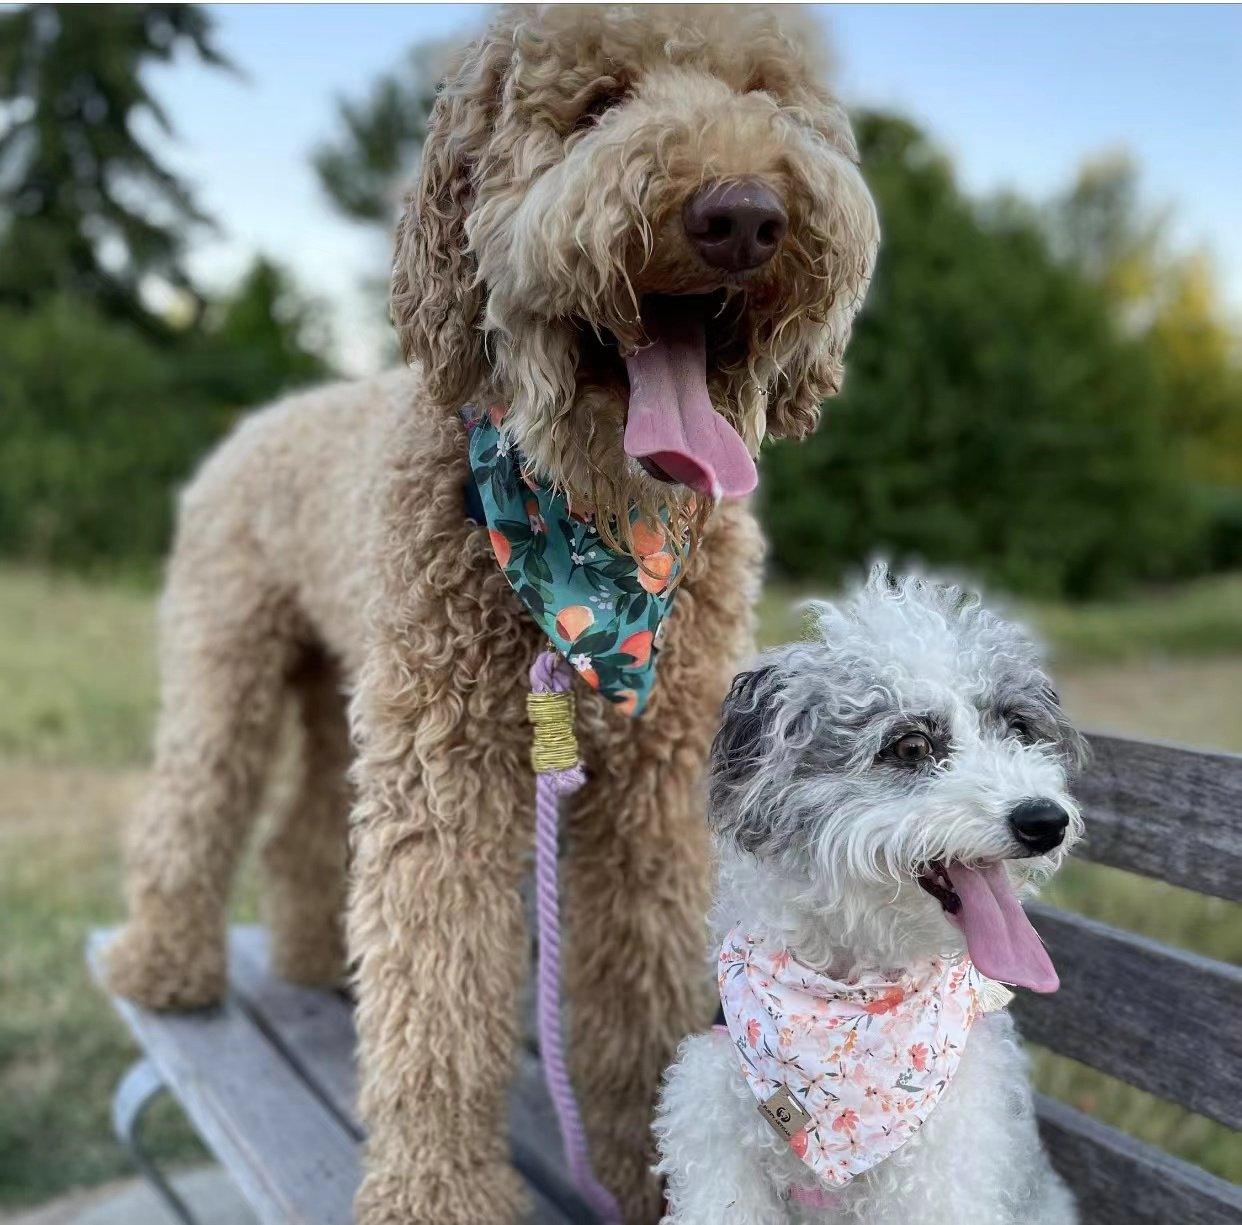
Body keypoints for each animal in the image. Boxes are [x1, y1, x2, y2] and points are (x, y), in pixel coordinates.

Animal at [106, 4, 879, 1217]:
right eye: (598, 101)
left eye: (766, 93)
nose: (743, 213)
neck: (590, 555)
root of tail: (263, 418)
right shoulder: (447, 768)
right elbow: (437, 991)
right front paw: (439, 1190)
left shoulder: (656, 787)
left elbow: (638, 992)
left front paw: (648, 1170)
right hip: (230, 654)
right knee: (194, 800)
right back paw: (163, 965)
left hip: (341, 676)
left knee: (301, 828)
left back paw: (306, 958)